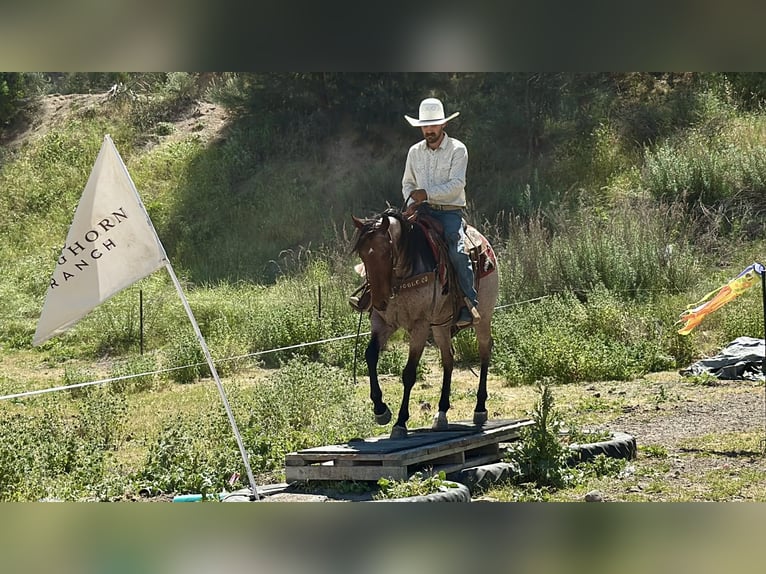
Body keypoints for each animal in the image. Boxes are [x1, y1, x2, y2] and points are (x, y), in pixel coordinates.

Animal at [351, 208, 499, 439]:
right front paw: (380, 410)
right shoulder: (383, 322)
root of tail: (485, 244)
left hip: (483, 316)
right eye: (362, 254)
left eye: (386, 252)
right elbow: (370, 355)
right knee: (448, 359)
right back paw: (442, 413)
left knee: (484, 351)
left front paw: (400, 422)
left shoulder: (420, 325)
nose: (379, 300)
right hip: (440, 325)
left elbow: (409, 373)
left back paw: (480, 408)